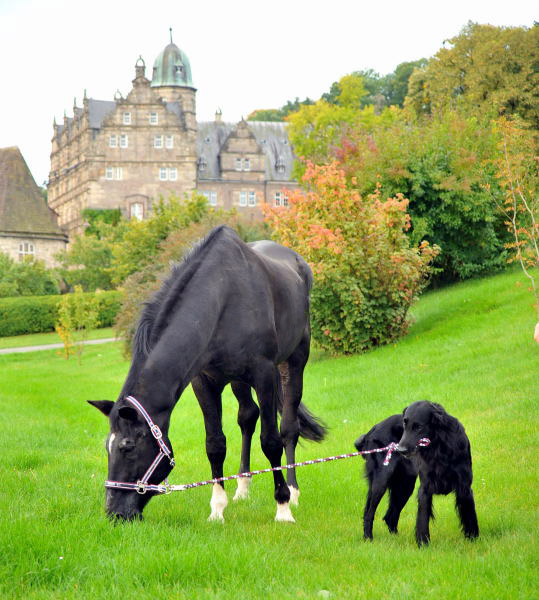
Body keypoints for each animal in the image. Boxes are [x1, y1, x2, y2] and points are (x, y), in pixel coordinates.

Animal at [89, 225, 324, 520]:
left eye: (127, 446)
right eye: (107, 448)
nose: (115, 513)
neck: (222, 298)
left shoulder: (265, 376)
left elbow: (271, 442)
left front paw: (282, 509)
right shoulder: (204, 382)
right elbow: (215, 444)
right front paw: (217, 509)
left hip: (294, 361)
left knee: (288, 428)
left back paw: (292, 492)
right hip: (238, 380)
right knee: (247, 417)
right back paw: (242, 486)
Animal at [396, 400, 480, 548]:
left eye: (419, 427)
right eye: (405, 424)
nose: (400, 450)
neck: (439, 448)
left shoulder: (464, 486)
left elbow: (469, 514)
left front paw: (472, 538)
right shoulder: (425, 488)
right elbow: (422, 518)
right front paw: (423, 543)